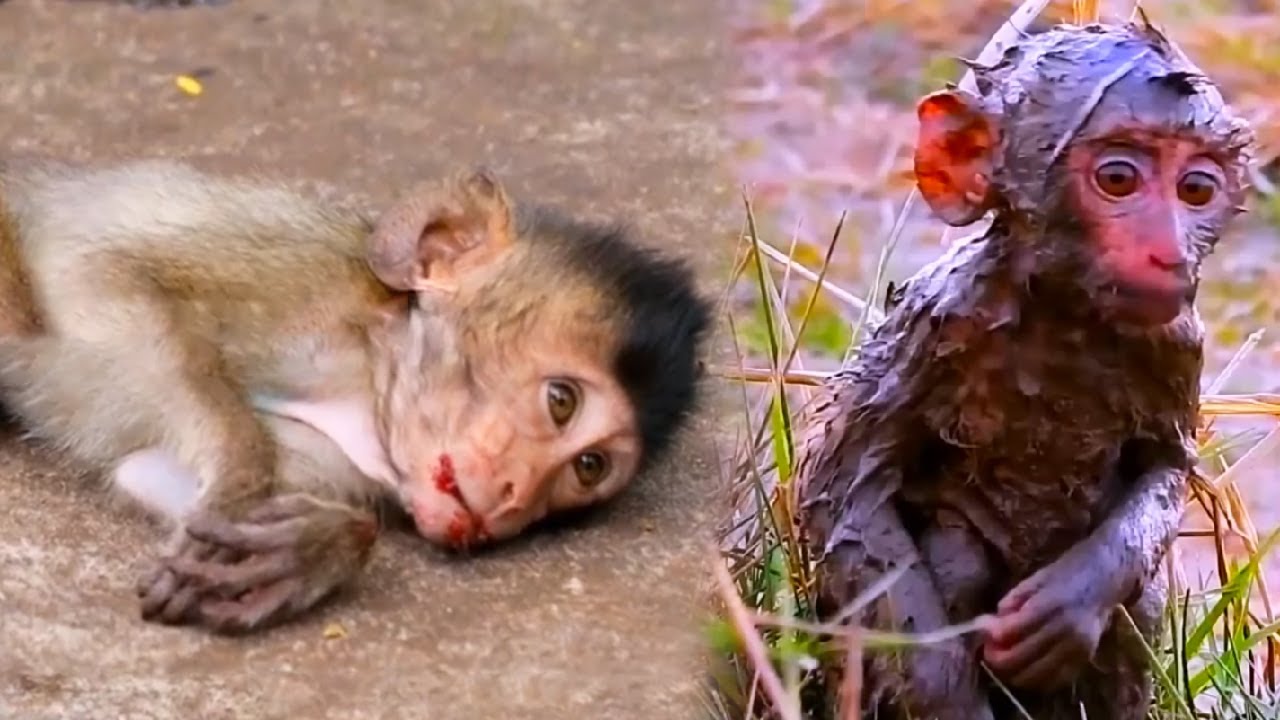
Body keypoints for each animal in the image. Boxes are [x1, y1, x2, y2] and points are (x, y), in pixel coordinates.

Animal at [0, 156, 711, 634]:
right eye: (561, 401)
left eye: (587, 468)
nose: (517, 496)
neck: (369, 369)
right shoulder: (295, 277)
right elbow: (93, 268)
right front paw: (238, 478)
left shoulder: (353, 462)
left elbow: (146, 471)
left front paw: (321, 544)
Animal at [791, 18, 1254, 720]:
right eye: (1118, 179)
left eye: (1197, 190)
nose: (1170, 253)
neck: (1065, 315)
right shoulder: (935, 324)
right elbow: (845, 492)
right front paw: (943, 689)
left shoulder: (1177, 342)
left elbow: (1167, 466)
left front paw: (1073, 601)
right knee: (953, 556)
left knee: (1137, 604)